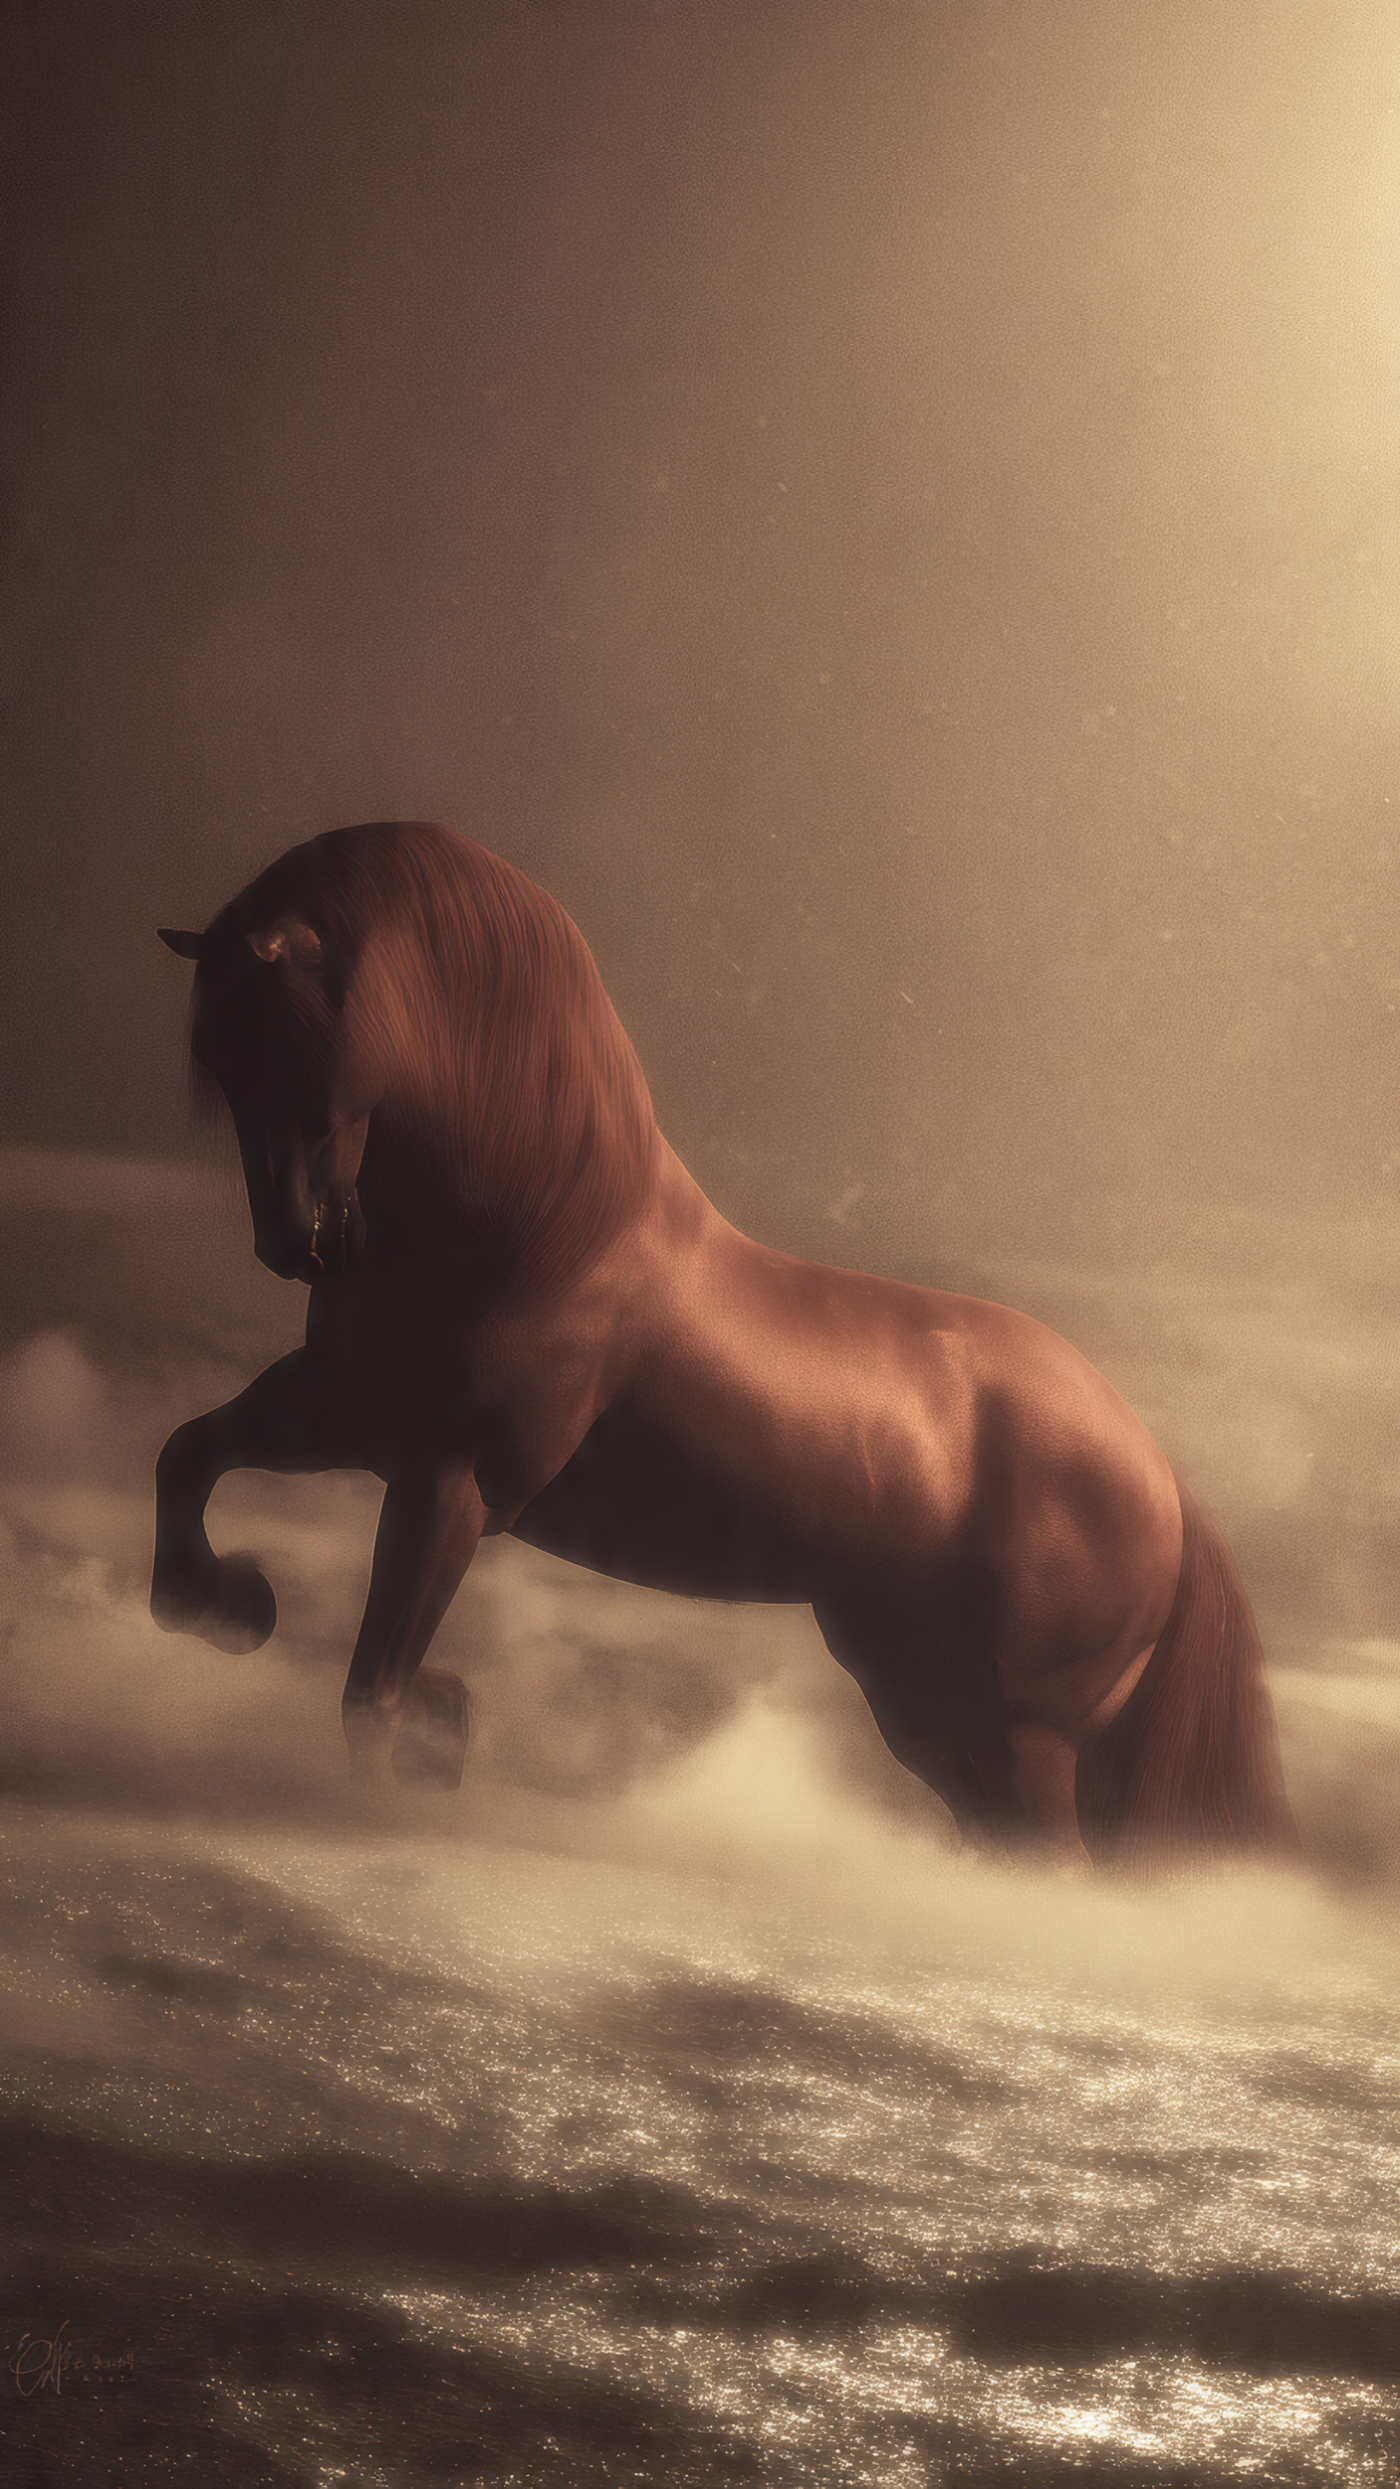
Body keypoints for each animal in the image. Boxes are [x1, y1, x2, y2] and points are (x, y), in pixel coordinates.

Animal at [153, 821, 1296, 1866]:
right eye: (216, 1056)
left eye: (297, 1041)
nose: (299, 1244)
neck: (536, 1230)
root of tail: (1161, 1479)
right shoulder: (343, 1409)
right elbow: (187, 1454)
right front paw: (231, 1608)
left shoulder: (454, 1479)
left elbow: (371, 1690)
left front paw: (400, 1776)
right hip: (919, 1691)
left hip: (1024, 1730)